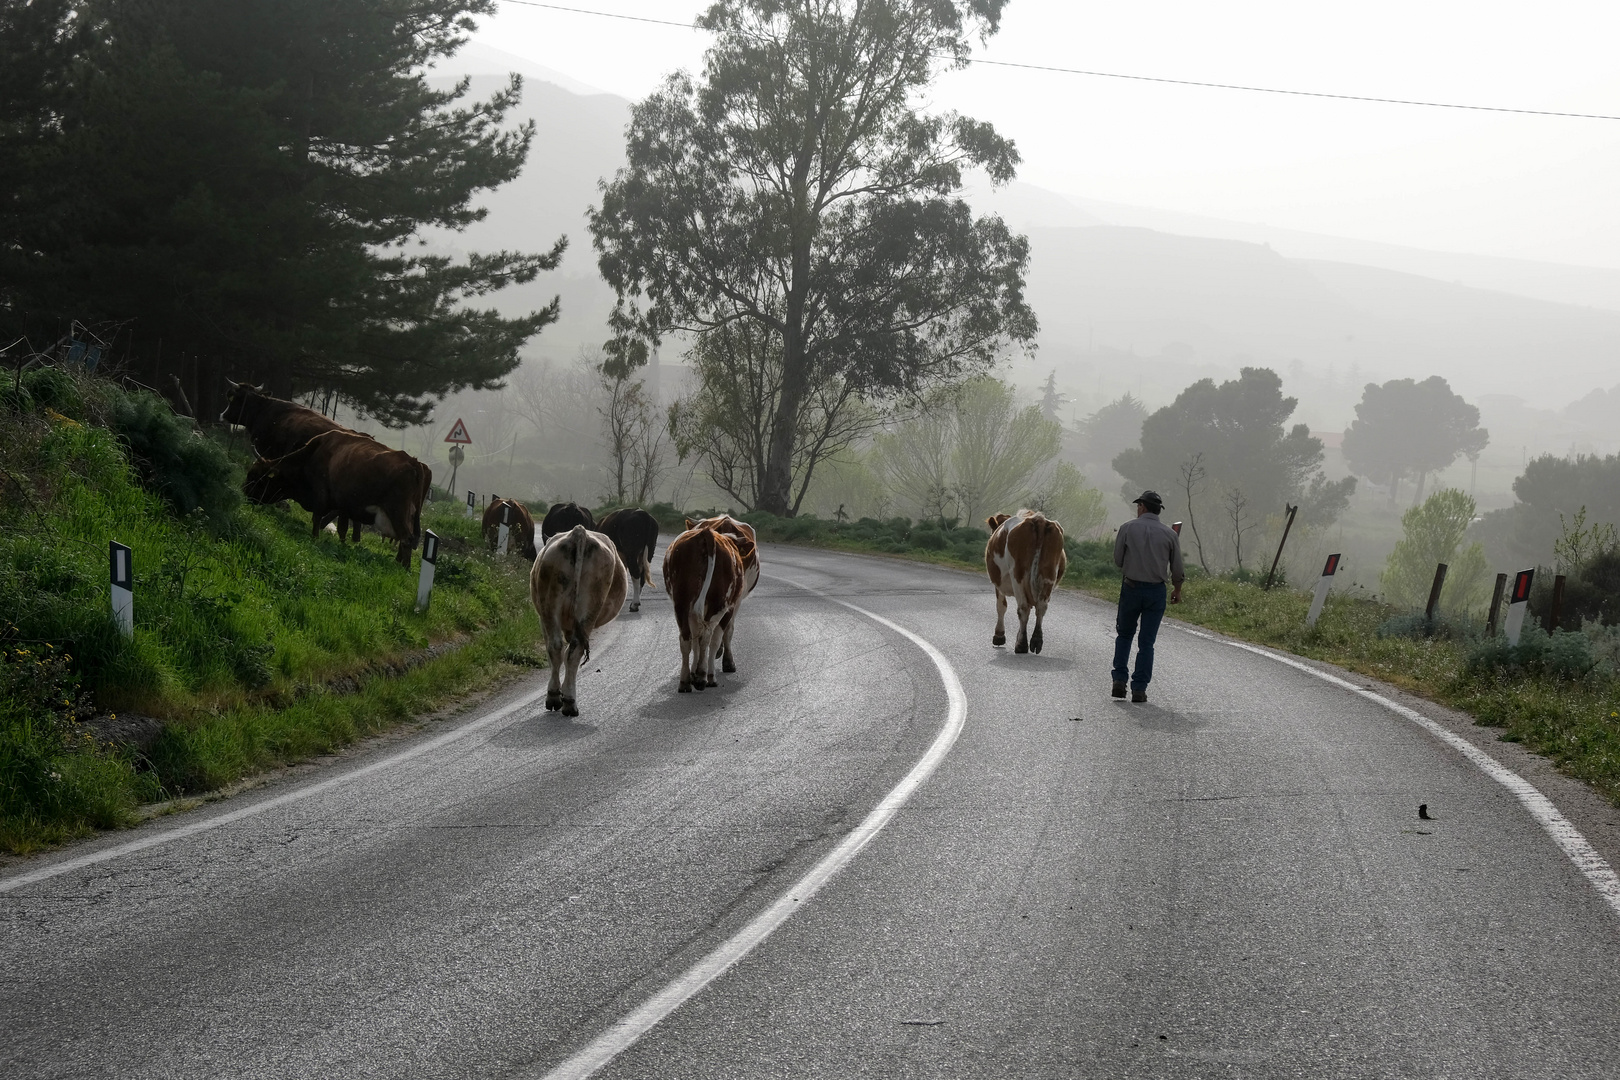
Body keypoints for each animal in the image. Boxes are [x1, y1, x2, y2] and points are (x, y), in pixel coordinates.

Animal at [241, 427, 430, 569]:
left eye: (255, 477)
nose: (244, 492)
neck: (314, 453)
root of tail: (413, 462)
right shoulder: (344, 505)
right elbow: (342, 528)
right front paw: (342, 545)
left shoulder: (321, 494)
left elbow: (317, 517)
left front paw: (315, 538)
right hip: (408, 515)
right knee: (408, 539)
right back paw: (400, 563)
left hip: (397, 511)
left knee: (407, 539)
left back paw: (404, 567)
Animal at [534, 524, 628, 718]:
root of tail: (579, 532)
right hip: (587, 608)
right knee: (571, 651)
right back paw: (567, 702)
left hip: (550, 606)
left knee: (557, 648)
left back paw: (557, 698)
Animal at [664, 524, 745, 693]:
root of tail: (706, 533)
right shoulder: (729, 609)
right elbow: (714, 641)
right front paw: (708, 675)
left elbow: (695, 640)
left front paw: (693, 672)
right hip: (719, 603)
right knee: (708, 636)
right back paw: (702, 677)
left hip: (681, 603)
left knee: (686, 639)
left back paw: (685, 681)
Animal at [978, 511, 1069, 654]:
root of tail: (1039, 519)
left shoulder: (999, 585)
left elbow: (1001, 606)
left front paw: (999, 635)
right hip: (1049, 574)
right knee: (1041, 607)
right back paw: (1036, 641)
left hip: (1018, 574)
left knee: (1023, 608)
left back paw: (1021, 645)